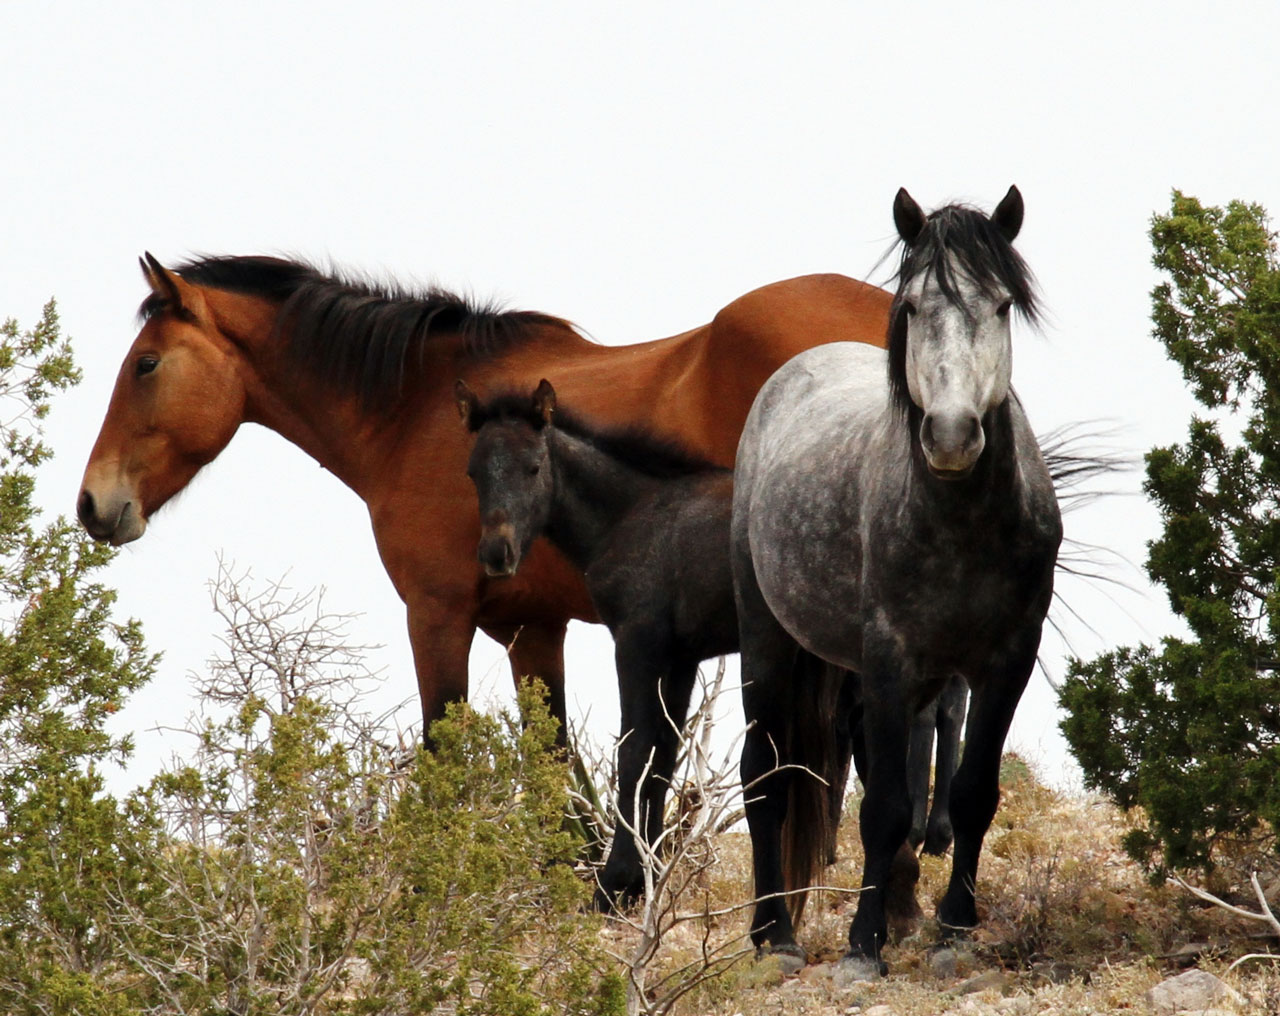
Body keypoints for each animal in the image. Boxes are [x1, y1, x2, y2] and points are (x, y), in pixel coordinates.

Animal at [76, 255, 891, 744]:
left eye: (146, 364)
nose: (92, 504)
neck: (420, 410)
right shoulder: (532, 630)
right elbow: (559, 779)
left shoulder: (437, 614)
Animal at [730, 186, 1062, 976]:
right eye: (911, 306)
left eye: (1002, 305)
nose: (950, 434)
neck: (960, 525)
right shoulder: (889, 660)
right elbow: (881, 808)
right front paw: (863, 943)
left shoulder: (1008, 660)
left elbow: (971, 793)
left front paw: (955, 928)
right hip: (765, 638)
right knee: (763, 780)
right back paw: (774, 934)